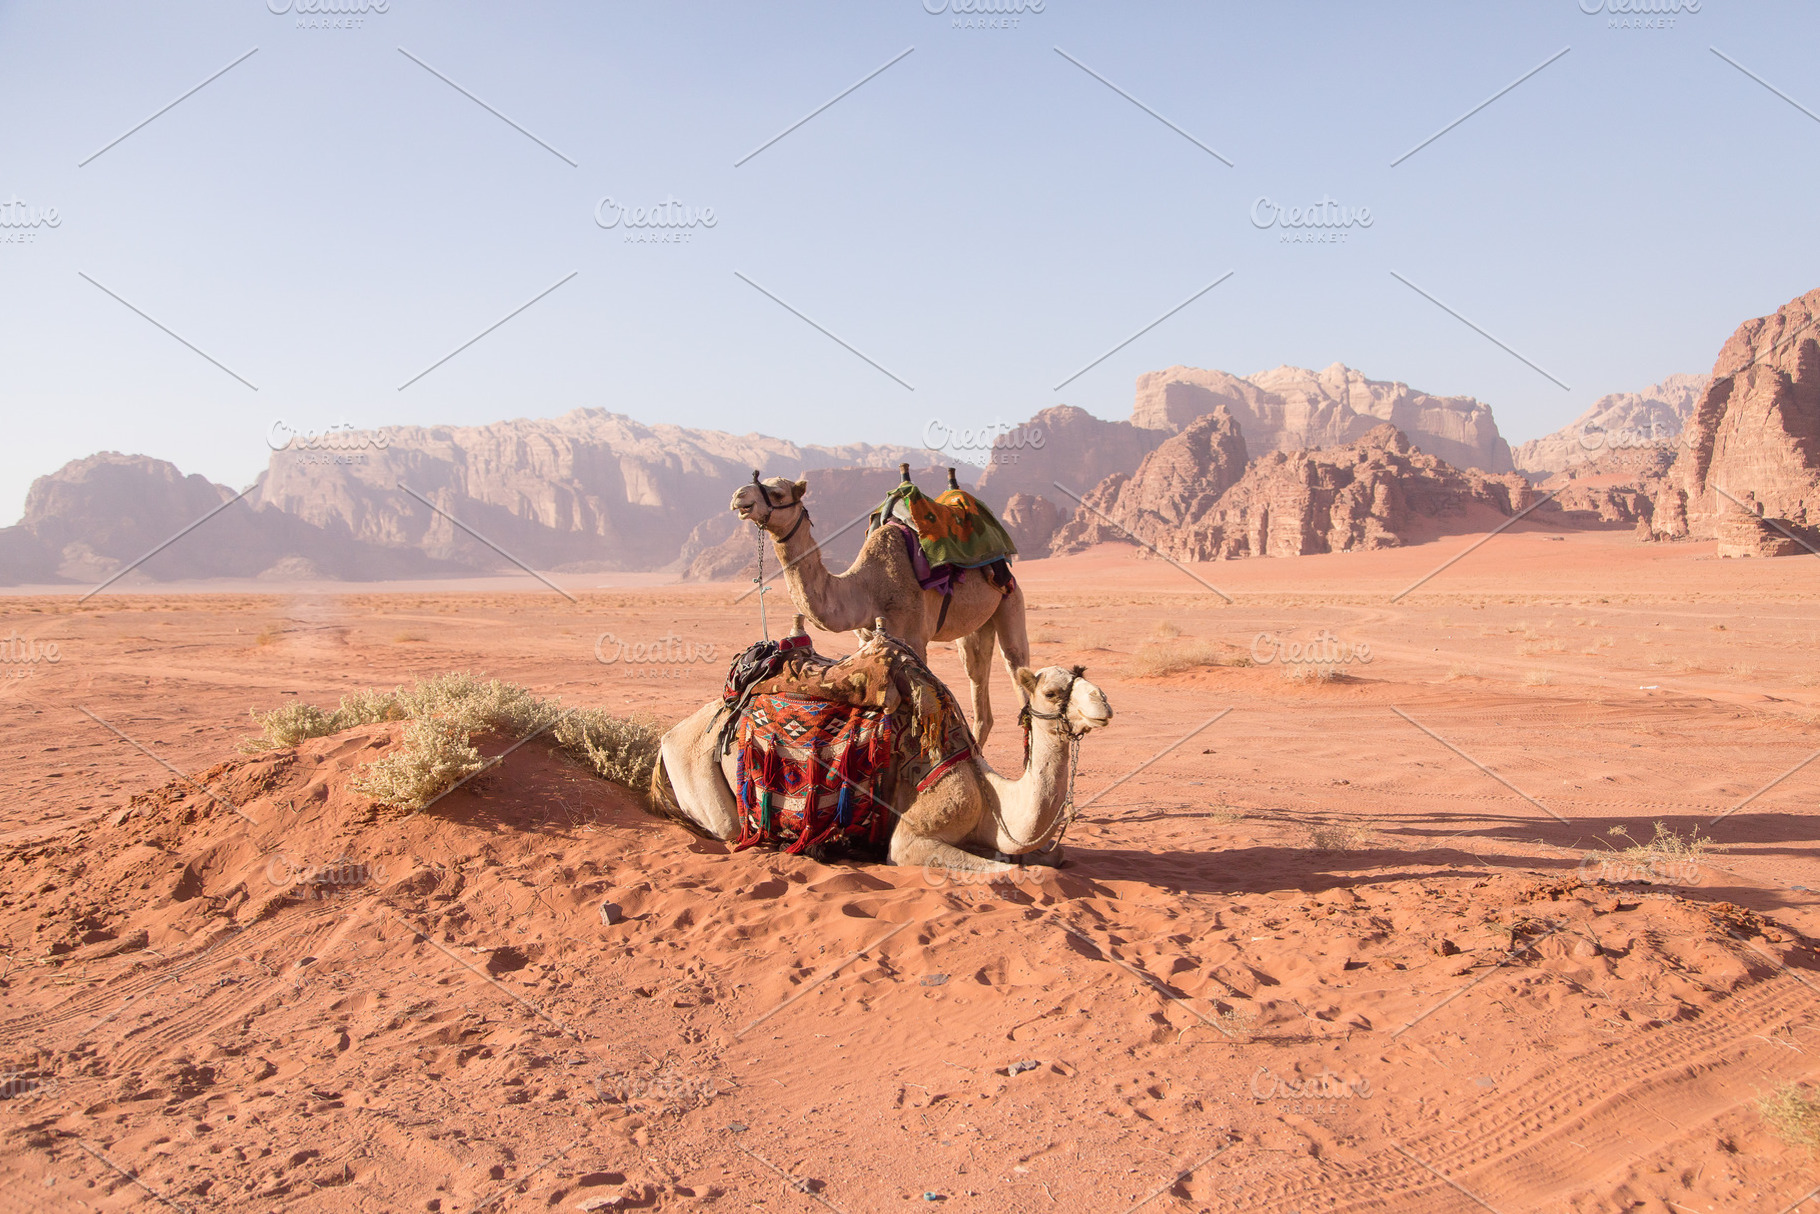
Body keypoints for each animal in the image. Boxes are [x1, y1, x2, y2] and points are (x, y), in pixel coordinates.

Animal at [650, 652, 1111, 875]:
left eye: (1085, 678)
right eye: (1052, 692)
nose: (1103, 705)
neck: (991, 801)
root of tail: (668, 736)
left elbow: (1051, 857)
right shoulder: (911, 837)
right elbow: (1004, 872)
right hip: (701, 770)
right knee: (730, 830)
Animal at [730, 473, 1030, 747]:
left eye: (778, 493)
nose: (739, 497)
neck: (867, 586)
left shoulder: (914, 637)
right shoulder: (864, 637)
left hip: (1010, 598)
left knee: (1016, 664)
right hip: (975, 627)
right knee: (978, 682)